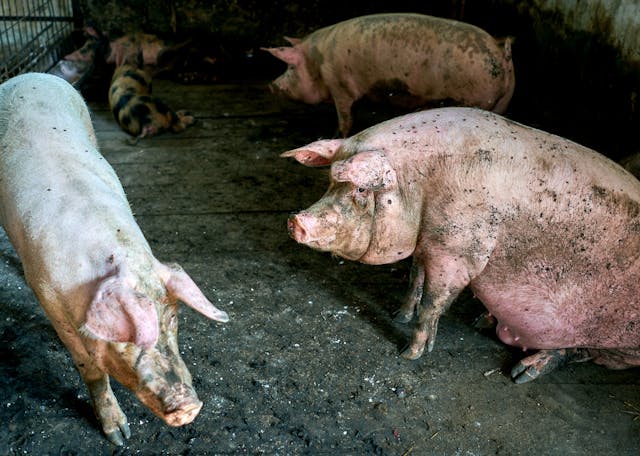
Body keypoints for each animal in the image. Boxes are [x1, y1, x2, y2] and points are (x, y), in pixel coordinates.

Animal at [0, 73, 228, 444]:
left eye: (172, 319)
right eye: (127, 335)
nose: (188, 406)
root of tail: (28, 76)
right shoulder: (48, 296)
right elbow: (90, 369)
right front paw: (120, 437)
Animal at [262, 13, 514, 136]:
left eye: (290, 67)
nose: (271, 85)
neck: (317, 62)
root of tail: (500, 52)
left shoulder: (339, 86)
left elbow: (345, 119)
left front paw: (331, 137)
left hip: (476, 97)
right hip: (504, 99)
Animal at [283, 107, 640, 383]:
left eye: (359, 190)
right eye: (330, 182)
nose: (295, 222)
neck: (419, 186)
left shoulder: (457, 253)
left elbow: (433, 301)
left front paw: (409, 353)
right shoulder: (427, 242)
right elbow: (414, 279)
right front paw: (399, 315)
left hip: (611, 336)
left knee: (579, 351)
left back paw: (521, 374)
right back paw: (482, 322)